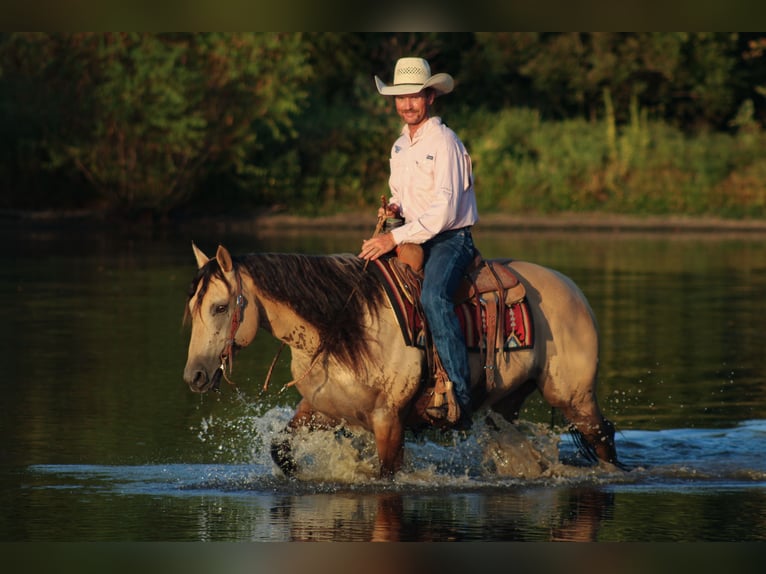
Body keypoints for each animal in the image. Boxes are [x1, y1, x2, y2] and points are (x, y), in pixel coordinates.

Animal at [183, 243, 620, 478]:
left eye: (220, 307)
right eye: (192, 308)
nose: (195, 376)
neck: (345, 325)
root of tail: (573, 290)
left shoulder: (389, 418)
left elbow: (387, 473)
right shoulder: (322, 408)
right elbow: (282, 450)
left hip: (576, 397)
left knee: (602, 438)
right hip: (504, 407)